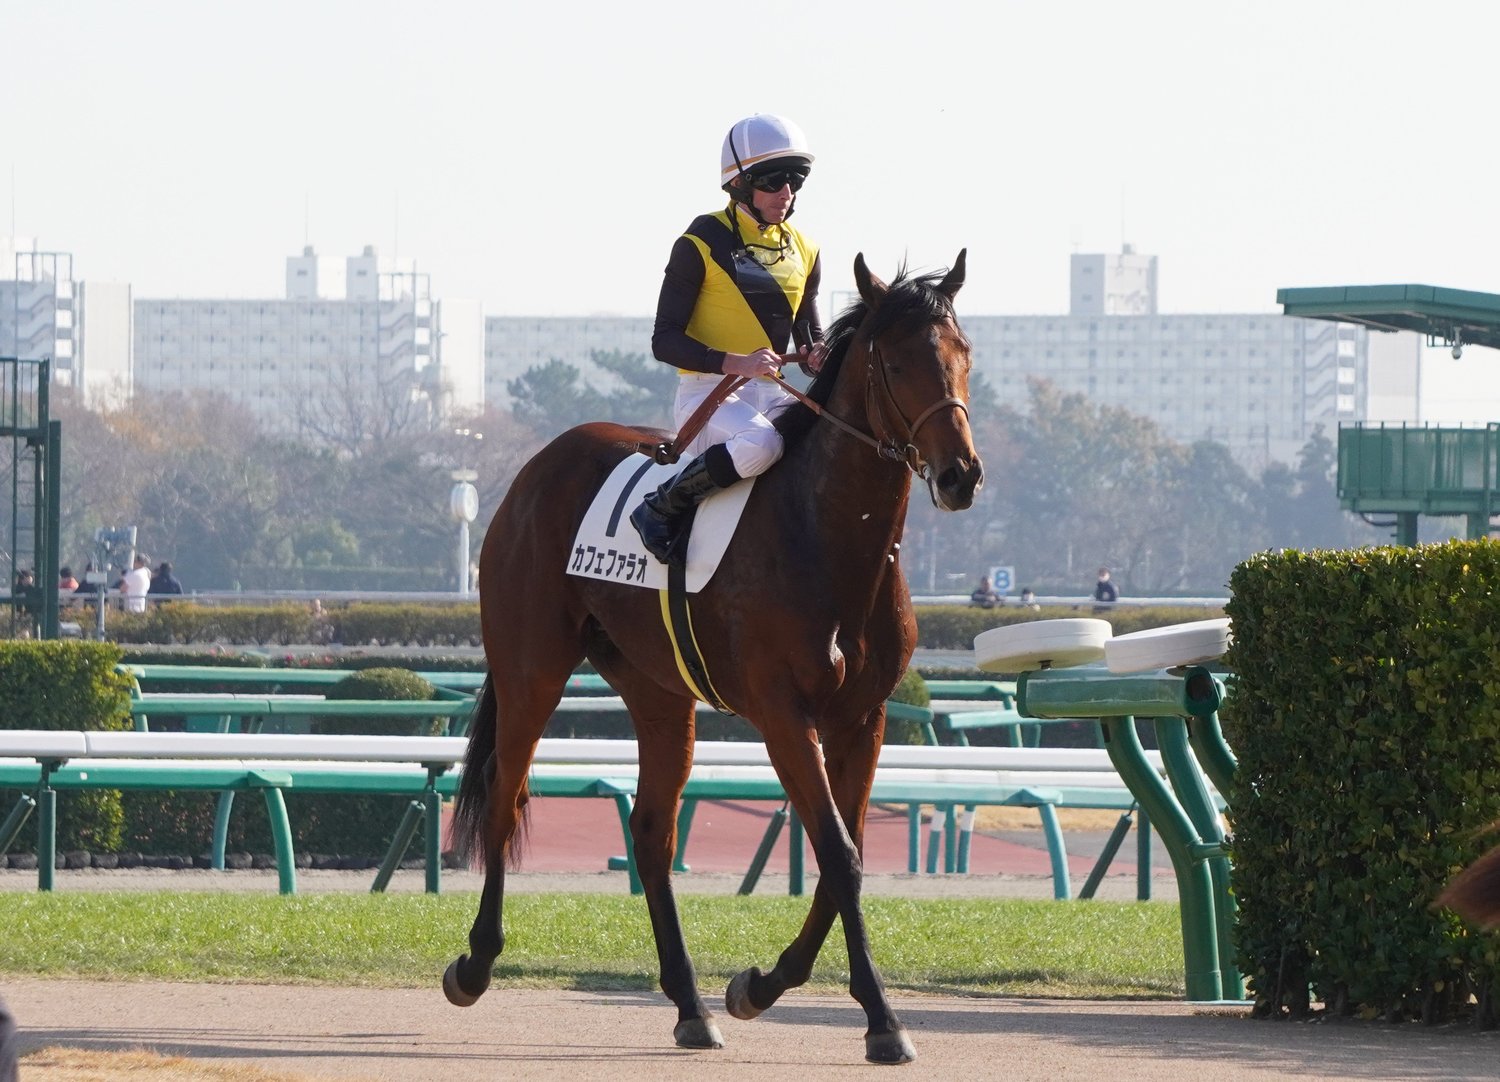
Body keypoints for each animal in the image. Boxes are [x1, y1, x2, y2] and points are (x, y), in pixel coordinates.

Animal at [443, 250, 983, 1064]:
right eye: (895, 363)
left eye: (963, 355)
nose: (960, 475)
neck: (825, 536)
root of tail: (537, 466)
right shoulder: (785, 716)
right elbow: (838, 853)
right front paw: (883, 1020)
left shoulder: (864, 718)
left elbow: (846, 856)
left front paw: (761, 985)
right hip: (530, 669)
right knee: (507, 800)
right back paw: (475, 965)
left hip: (660, 694)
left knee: (651, 832)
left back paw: (691, 1004)